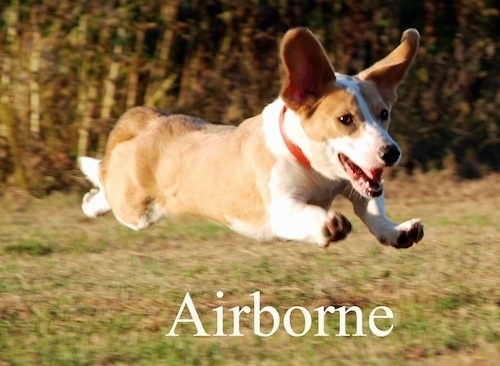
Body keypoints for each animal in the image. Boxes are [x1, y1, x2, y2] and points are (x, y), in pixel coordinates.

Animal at [80, 27, 424, 247]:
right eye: (345, 119)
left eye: (383, 114)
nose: (391, 152)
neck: (314, 170)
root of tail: (153, 120)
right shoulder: (280, 208)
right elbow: (305, 211)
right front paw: (328, 224)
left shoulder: (359, 186)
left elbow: (374, 210)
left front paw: (399, 231)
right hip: (135, 207)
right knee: (104, 181)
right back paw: (91, 198)